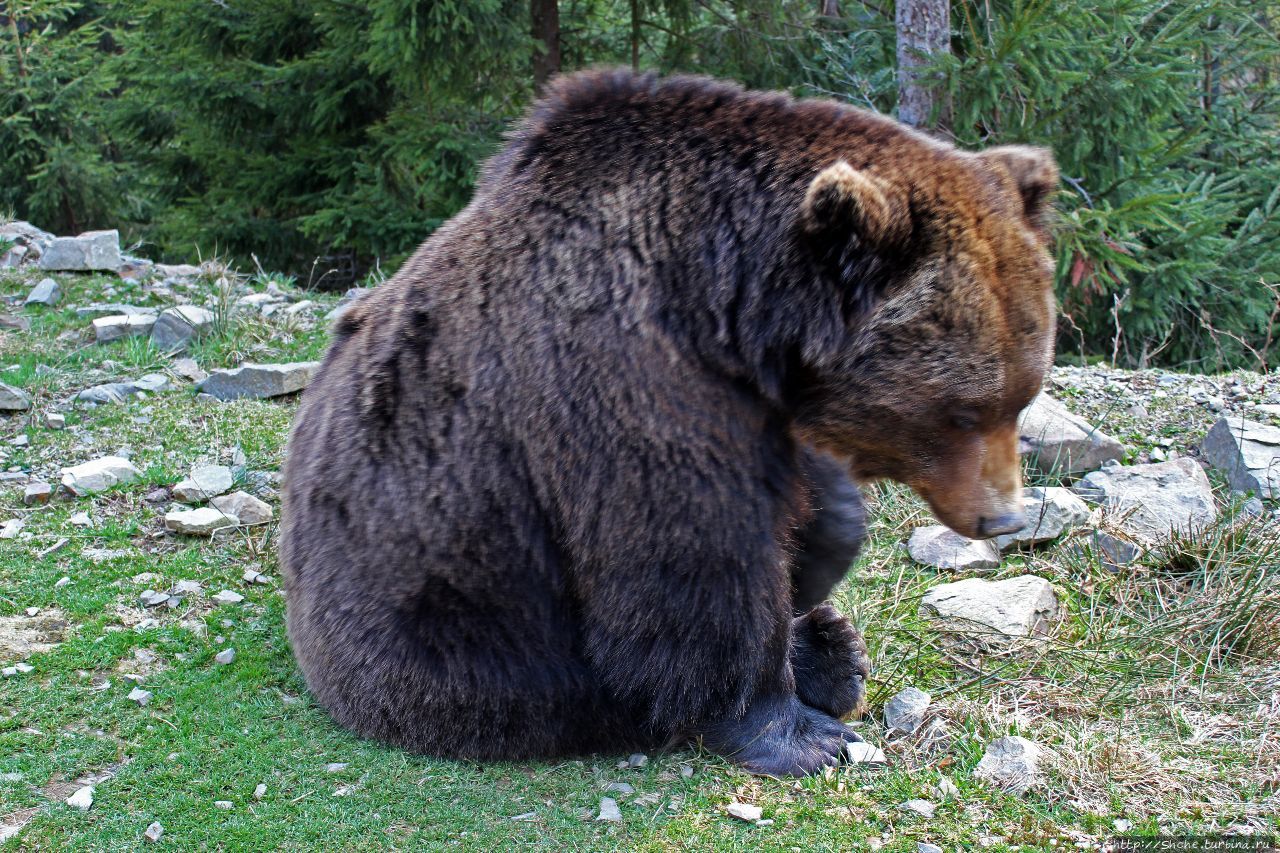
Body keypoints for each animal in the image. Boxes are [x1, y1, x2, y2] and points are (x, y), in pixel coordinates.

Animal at [282, 69, 1059, 773]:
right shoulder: (628, 385)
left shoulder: (755, 405)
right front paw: (800, 734)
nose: (1004, 517)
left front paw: (822, 560)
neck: (720, 300)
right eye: (963, 409)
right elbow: (693, 565)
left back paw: (834, 649)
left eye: (1023, 395)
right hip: (460, 639)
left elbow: (803, 508)